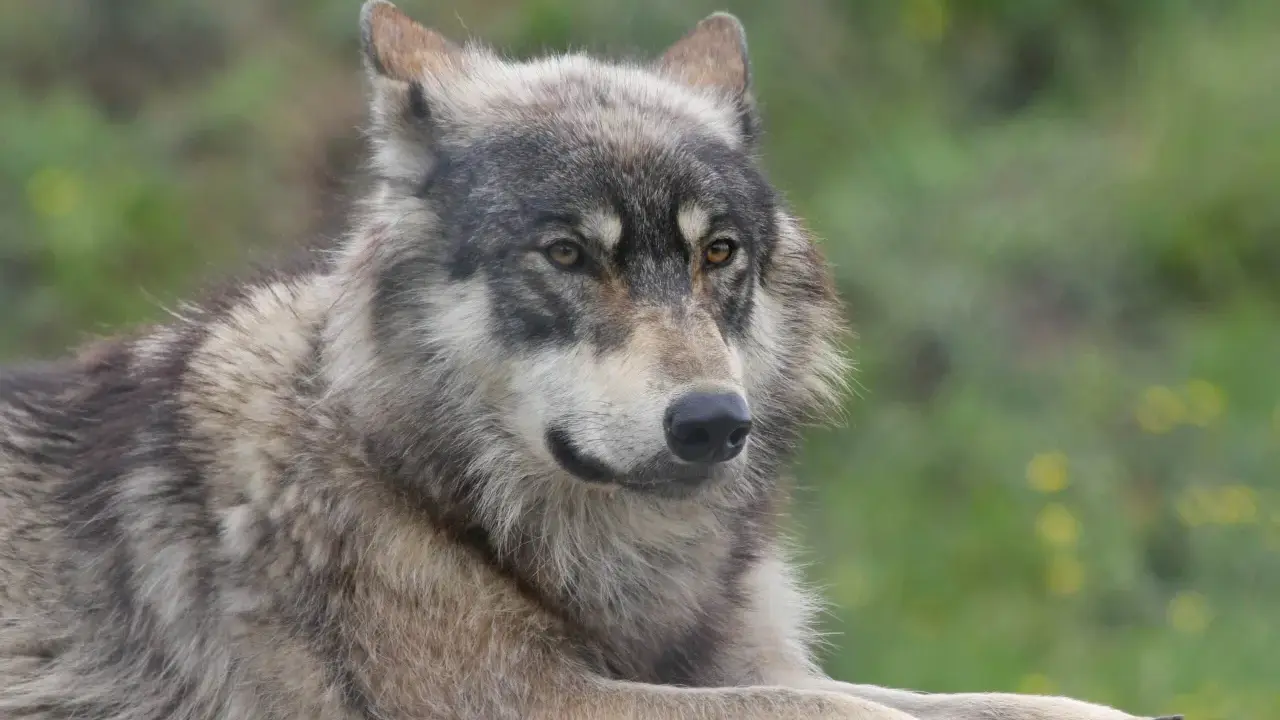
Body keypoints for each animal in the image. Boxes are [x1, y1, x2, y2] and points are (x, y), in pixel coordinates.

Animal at [0, 2, 1179, 718]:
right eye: (568, 254)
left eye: (717, 254)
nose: (712, 422)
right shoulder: (525, 698)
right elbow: (813, 703)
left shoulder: (732, 662)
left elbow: (988, 699)